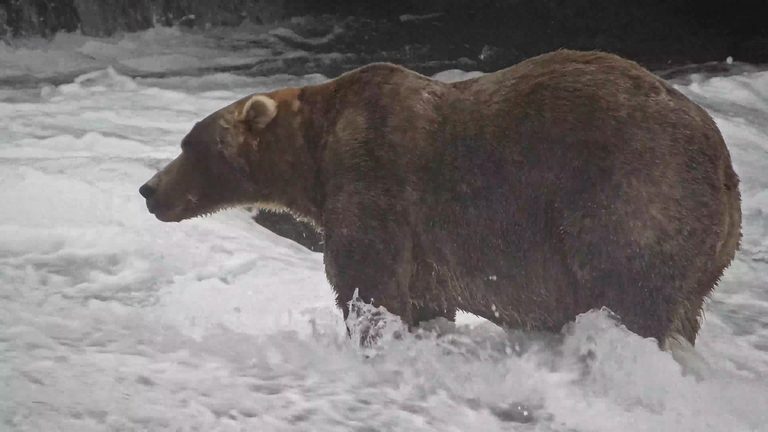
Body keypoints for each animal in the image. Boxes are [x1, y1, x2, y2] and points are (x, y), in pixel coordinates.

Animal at [139, 50, 741, 346]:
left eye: (189, 144)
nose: (148, 189)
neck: (315, 154)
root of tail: (724, 164)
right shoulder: (426, 246)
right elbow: (425, 298)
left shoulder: (374, 176)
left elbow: (367, 280)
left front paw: (370, 334)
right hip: (707, 251)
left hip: (631, 194)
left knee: (629, 289)